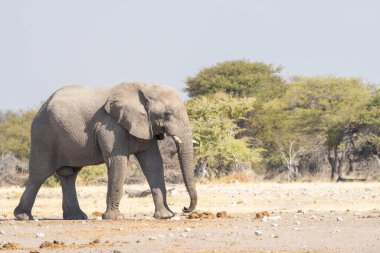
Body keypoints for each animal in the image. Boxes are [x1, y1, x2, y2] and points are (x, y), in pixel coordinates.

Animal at [13, 82, 197, 219]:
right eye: (167, 114)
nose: (184, 208)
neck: (143, 87)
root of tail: (42, 107)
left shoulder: (145, 125)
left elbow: (154, 163)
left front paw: (165, 216)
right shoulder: (110, 126)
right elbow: (118, 161)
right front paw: (114, 218)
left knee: (68, 174)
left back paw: (76, 217)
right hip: (44, 134)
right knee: (40, 174)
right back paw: (23, 217)